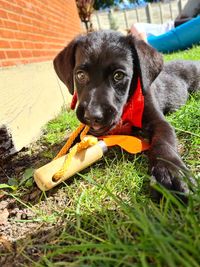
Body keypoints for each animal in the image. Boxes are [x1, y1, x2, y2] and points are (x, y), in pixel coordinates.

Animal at [53, 30, 200, 200]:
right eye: (81, 75)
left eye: (118, 75)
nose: (92, 116)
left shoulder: (158, 121)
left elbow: (164, 140)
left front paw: (171, 172)